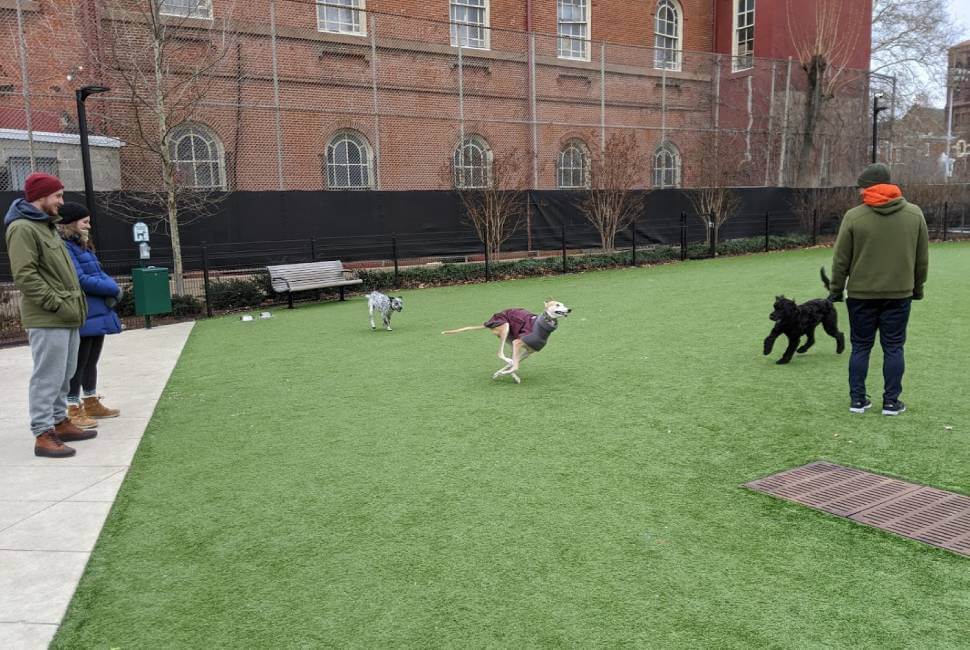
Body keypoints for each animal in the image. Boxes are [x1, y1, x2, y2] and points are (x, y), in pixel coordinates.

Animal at [438, 300, 568, 384]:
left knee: (511, 359)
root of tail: (488, 322)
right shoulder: (518, 342)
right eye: (557, 304)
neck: (542, 325)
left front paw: (499, 374)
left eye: (564, 304)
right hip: (505, 327)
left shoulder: (528, 351)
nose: (569, 309)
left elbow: (514, 365)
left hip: (511, 340)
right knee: (501, 354)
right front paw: (501, 373)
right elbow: (515, 366)